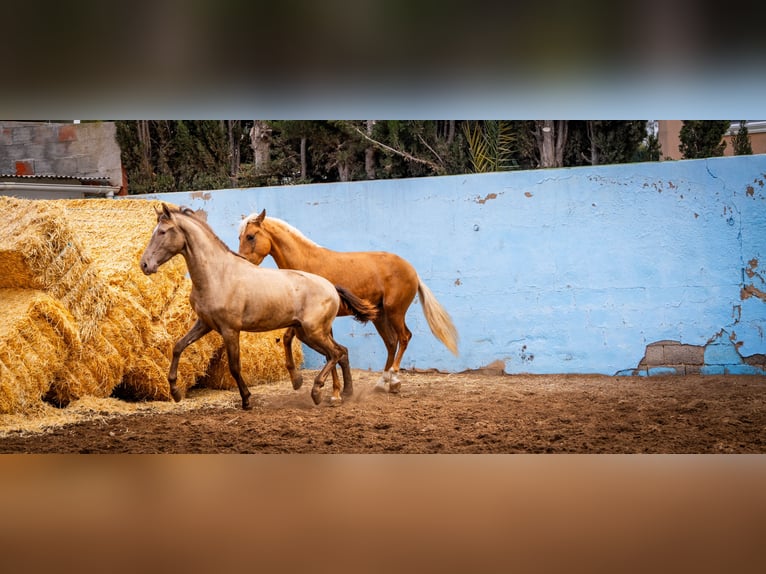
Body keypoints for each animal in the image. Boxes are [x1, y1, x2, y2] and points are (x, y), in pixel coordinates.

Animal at [140, 205, 380, 412]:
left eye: (162, 232)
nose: (144, 265)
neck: (218, 274)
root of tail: (331, 287)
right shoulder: (205, 324)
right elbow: (178, 346)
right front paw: (175, 392)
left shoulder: (230, 330)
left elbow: (235, 367)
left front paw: (246, 400)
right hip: (307, 333)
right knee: (341, 352)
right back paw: (343, 393)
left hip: (313, 332)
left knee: (336, 353)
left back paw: (317, 391)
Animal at [237, 209, 460, 394]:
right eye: (240, 236)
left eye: (250, 236)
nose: (242, 262)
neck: (306, 266)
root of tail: (412, 271)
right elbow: (289, 339)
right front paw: (303, 382)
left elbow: (329, 352)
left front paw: (332, 392)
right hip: (379, 316)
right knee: (391, 342)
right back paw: (383, 383)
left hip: (395, 312)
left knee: (404, 337)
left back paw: (394, 378)